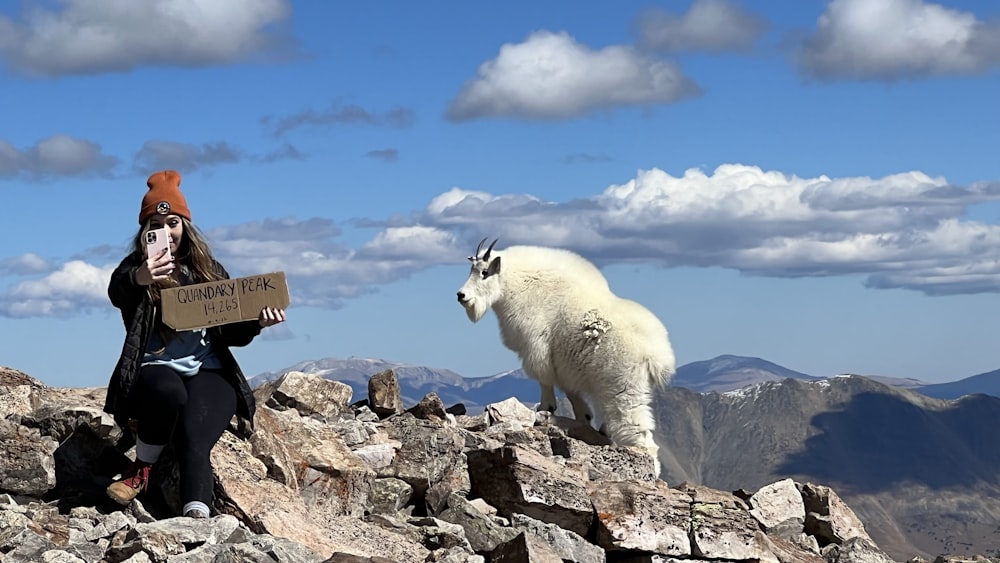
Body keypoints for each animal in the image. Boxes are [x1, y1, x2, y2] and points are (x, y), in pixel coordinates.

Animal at [458, 240, 676, 474]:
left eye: (485, 272)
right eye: (472, 270)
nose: (461, 296)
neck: (518, 285)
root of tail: (656, 355)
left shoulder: (537, 346)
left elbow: (545, 380)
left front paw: (545, 408)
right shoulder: (565, 361)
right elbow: (568, 387)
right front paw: (584, 416)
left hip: (623, 387)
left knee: (640, 434)